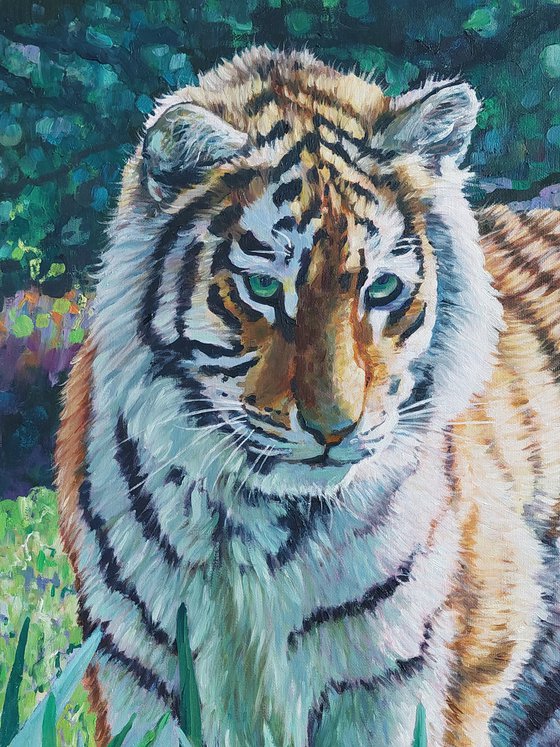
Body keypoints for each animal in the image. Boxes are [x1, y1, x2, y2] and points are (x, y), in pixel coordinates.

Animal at [55, 46, 560, 746]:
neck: (249, 529)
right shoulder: (140, 680)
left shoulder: (408, 688)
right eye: (265, 288)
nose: (335, 429)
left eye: (381, 289)